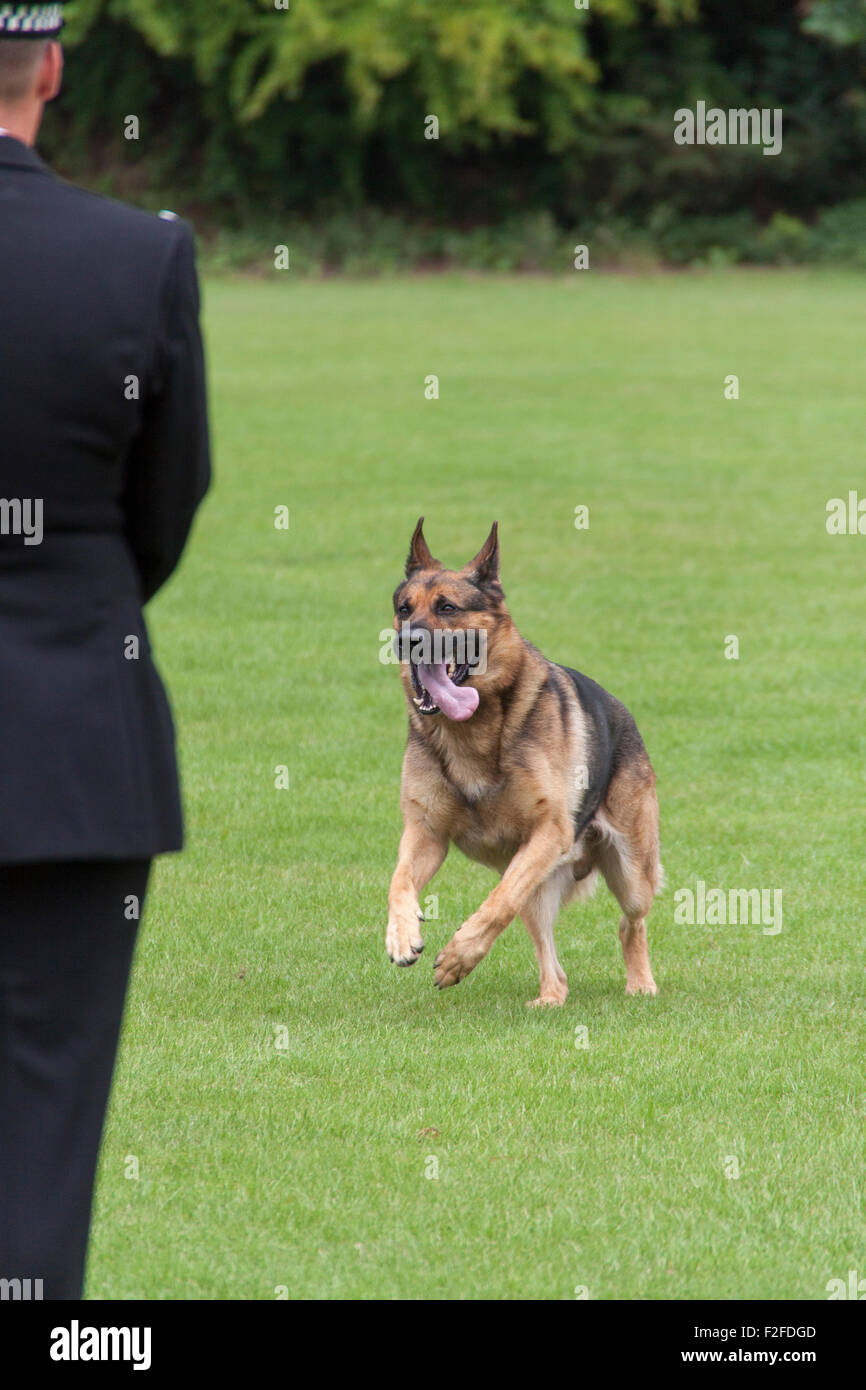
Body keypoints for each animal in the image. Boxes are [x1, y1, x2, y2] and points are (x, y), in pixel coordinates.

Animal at [386, 517, 664, 1006]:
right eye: (404, 609)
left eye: (447, 608)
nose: (406, 642)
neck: (472, 730)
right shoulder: (426, 833)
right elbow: (398, 883)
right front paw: (402, 936)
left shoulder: (547, 832)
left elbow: (497, 903)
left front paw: (458, 956)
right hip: (540, 883)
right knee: (554, 963)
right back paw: (549, 999)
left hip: (629, 871)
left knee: (630, 922)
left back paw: (640, 984)